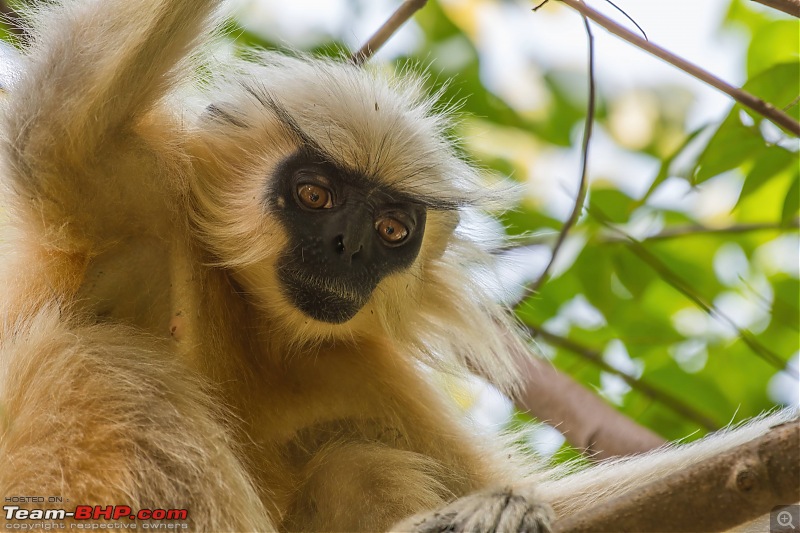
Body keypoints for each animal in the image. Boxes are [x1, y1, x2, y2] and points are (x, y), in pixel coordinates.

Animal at [0, 0, 792, 528]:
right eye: (314, 195)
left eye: (389, 229)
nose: (347, 248)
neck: (255, 323)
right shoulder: (127, 192)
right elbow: (57, 110)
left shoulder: (361, 371)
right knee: (103, 364)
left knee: (355, 461)